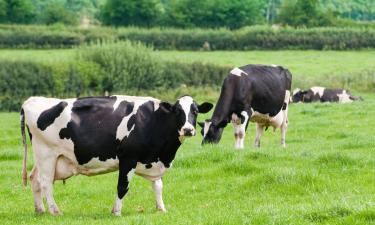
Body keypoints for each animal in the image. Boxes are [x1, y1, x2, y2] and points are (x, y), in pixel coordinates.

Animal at [20, 94, 213, 215]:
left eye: (195, 111)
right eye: (178, 111)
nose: (188, 129)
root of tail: (32, 100)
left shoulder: (153, 158)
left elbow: (158, 186)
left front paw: (161, 209)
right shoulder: (128, 158)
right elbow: (122, 187)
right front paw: (117, 212)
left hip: (47, 158)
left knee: (34, 178)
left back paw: (40, 210)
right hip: (46, 154)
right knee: (46, 183)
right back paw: (55, 211)